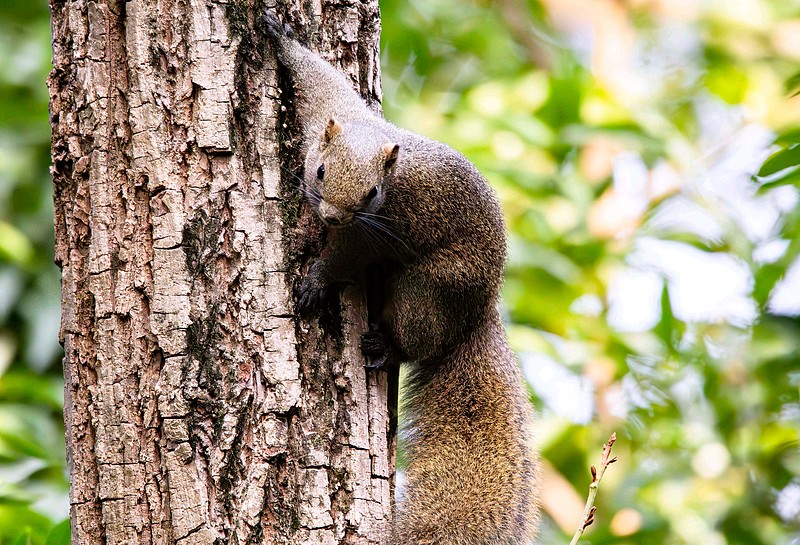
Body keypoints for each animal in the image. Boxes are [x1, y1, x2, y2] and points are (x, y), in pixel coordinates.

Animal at [266, 12, 540, 544]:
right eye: (321, 170)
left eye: (372, 193)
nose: (331, 217)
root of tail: (479, 312)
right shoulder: (331, 109)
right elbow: (318, 78)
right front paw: (280, 38)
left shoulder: (377, 229)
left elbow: (344, 259)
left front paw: (316, 282)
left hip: (428, 290)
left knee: (418, 339)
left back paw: (386, 347)